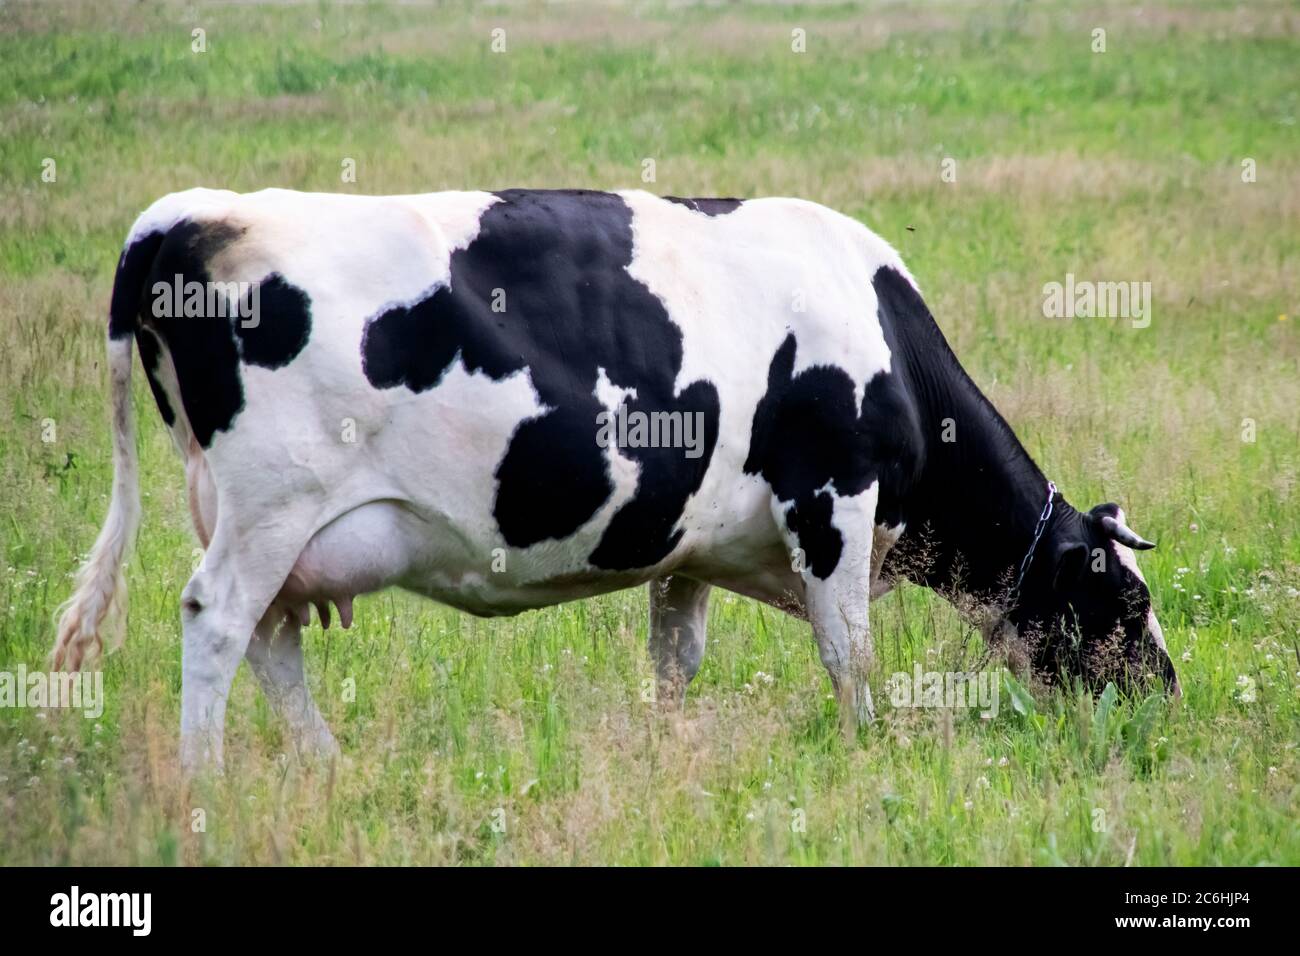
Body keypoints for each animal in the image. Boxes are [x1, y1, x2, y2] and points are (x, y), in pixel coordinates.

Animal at [52, 187, 1179, 768]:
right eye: (1127, 602)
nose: (1166, 693)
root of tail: (194, 212)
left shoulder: (689, 545)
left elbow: (675, 660)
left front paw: (666, 752)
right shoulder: (833, 503)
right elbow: (849, 653)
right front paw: (871, 749)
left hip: (273, 526)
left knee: (273, 639)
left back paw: (325, 764)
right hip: (268, 506)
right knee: (216, 621)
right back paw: (205, 778)